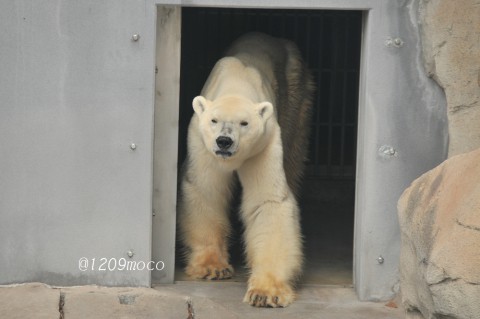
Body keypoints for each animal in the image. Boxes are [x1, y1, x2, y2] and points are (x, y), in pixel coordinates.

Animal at [178, 31, 314, 308]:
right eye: (214, 120)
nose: (224, 142)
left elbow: (268, 200)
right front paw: (212, 267)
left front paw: (266, 292)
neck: (236, 81)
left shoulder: (265, 142)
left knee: (294, 157)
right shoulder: (201, 142)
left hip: (296, 93)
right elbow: (206, 191)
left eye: (244, 123)